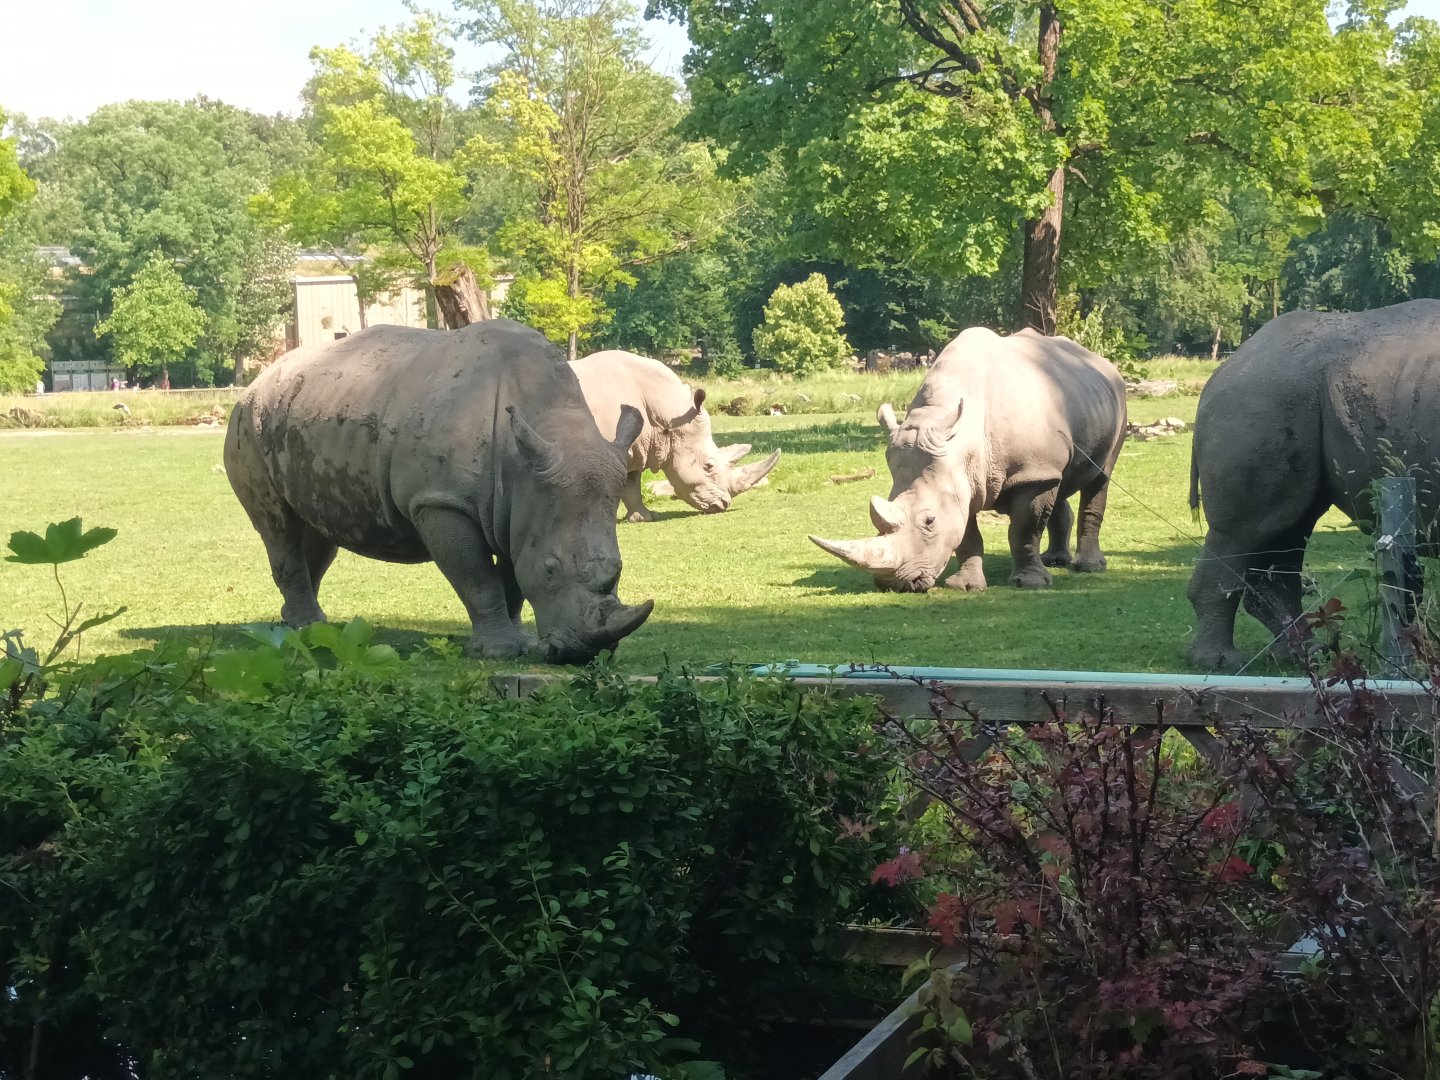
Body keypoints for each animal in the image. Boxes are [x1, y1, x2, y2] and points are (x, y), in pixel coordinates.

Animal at [224, 320, 653, 664]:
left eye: (618, 570)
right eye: (551, 569)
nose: (583, 653)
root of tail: (258, 381)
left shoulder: (522, 507)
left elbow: (513, 576)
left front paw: (520, 644)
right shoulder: (442, 502)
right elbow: (479, 578)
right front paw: (497, 652)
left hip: (305, 414)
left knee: (315, 532)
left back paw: (304, 628)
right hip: (249, 422)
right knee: (278, 526)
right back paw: (305, 629)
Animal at [570, 350, 780, 521]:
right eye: (708, 466)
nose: (722, 505)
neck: (668, 416)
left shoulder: (636, 446)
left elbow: (632, 483)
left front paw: (644, 518)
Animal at [810, 327, 1127, 593]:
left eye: (929, 521)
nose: (895, 585)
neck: (963, 443)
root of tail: (1100, 360)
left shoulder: (1027, 471)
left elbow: (1024, 529)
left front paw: (1030, 584)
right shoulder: (965, 480)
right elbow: (966, 534)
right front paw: (964, 586)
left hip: (1117, 400)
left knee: (1099, 479)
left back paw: (1088, 567)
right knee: (1059, 482)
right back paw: (1054, 560)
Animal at [1188, 299, 1440, 670]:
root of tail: (1222, 370)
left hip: (1286, 395)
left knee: (1288, 528)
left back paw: (1303, 657)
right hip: (1261, 396)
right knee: (1244, 532)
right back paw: (1221, 662)